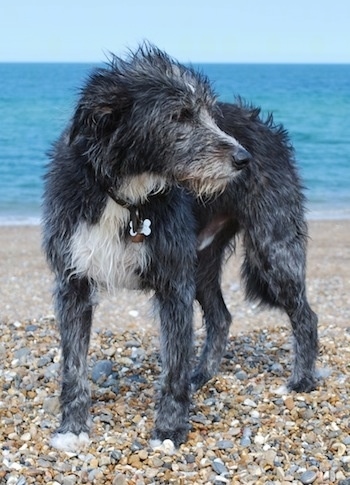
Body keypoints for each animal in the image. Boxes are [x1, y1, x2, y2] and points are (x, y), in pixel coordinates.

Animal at [42, 43, 318, 452]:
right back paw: (201, 373)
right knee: (221, 317)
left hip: (273, 247)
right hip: (202, 262)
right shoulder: (73, 281)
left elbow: (172, 365)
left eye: (208, 113)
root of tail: (266, 128)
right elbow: (73, 367)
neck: (127, 195)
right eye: (180, 116)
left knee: (305, 315)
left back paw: (302, 380)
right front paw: (72, 428)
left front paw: (170, 429)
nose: (243, 159)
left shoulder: (173, 283)